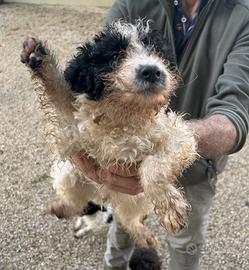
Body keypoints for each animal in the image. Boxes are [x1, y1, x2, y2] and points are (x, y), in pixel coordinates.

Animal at [20, 20, 197, 248]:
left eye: (157, 53)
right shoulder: (72, 131)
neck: (124, 116)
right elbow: (59, 93)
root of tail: (105, 194)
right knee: (78, 201)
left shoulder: (178, 135)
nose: (152, 71)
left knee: (126, 218)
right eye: (115, 56)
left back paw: (142, 234)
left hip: (137, 199)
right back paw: (64, 208)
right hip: (68, 174)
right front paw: (40, 59)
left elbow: (153, 168)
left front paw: (171, 208)